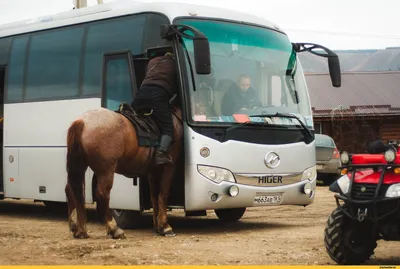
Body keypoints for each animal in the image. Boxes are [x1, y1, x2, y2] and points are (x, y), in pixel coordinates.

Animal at [64, 105, 183, 239]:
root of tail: (83, 121)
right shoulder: (169, 167)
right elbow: (163, 194)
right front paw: (165, 226)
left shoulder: (153, 171)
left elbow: (154, 196)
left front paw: (157, 226)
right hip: (106, 170)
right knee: (102, 194)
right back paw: (114, 229)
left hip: (80, 165)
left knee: (71, 190)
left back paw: (78, 229)